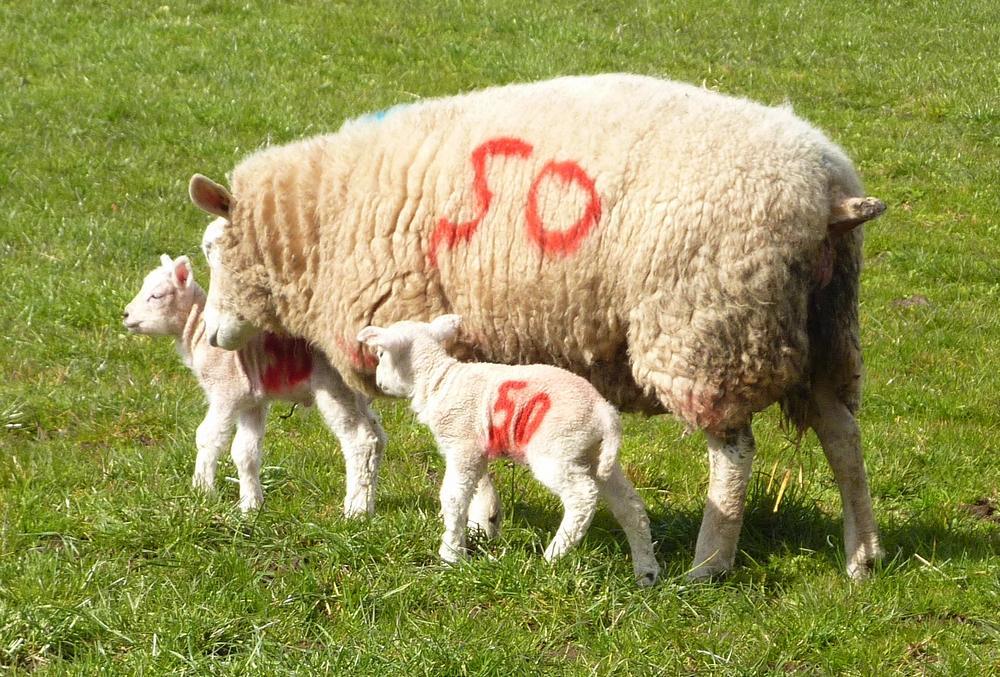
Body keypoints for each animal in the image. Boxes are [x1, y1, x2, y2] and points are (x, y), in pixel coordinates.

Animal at [123, 256, 388, 516]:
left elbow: (207, 437)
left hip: (334, 386)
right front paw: (251, 506)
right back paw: (368, 504)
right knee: (377, 438)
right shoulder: (252, 400)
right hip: (355, 392)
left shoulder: (225, 392)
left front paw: (202, 491)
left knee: (360, 441)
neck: (198, 333)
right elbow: (245, 452)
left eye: (156, 295)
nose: (125, 315)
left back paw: (355, 511)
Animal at [356, 314, 660, 584]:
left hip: (555, 449)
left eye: (381, 354)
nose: (378, 382)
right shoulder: (475, 452)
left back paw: (553, 556)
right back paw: (646, 571)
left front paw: (451, 554)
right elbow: (475, 491)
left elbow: (453, 497)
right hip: (594, 455)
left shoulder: (462, 444)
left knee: (582, 496)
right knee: (630, 506)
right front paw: (480, 528)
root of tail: (604, 413)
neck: (438, 381)